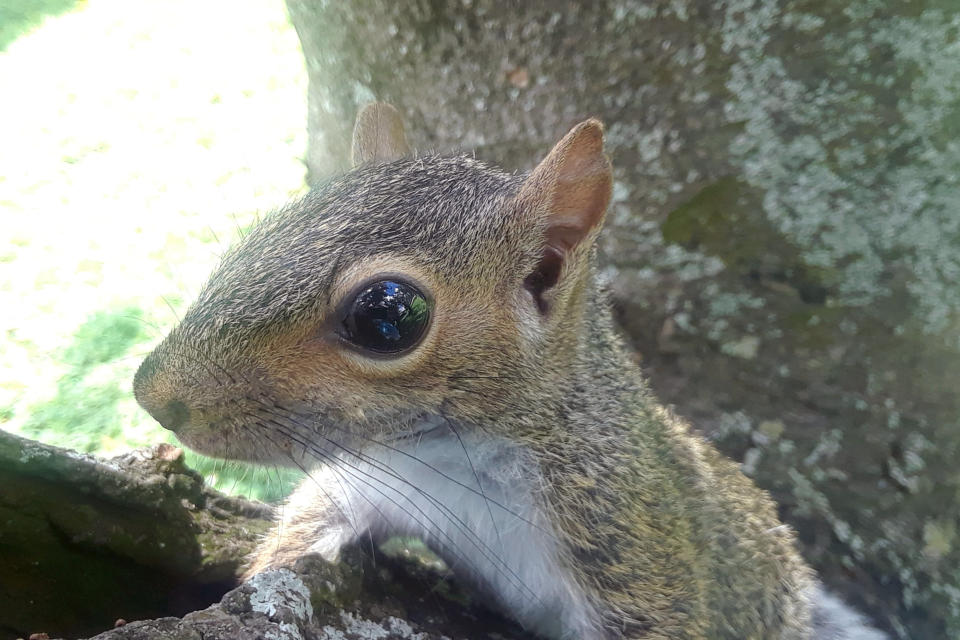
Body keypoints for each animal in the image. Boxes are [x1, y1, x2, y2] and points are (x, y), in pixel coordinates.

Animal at [133, 102, 884, 636]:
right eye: (261, 236)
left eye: (387, 316)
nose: (152, 393)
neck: (460, 461)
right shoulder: (379, 479)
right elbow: (307, 523)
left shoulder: (635, 548)